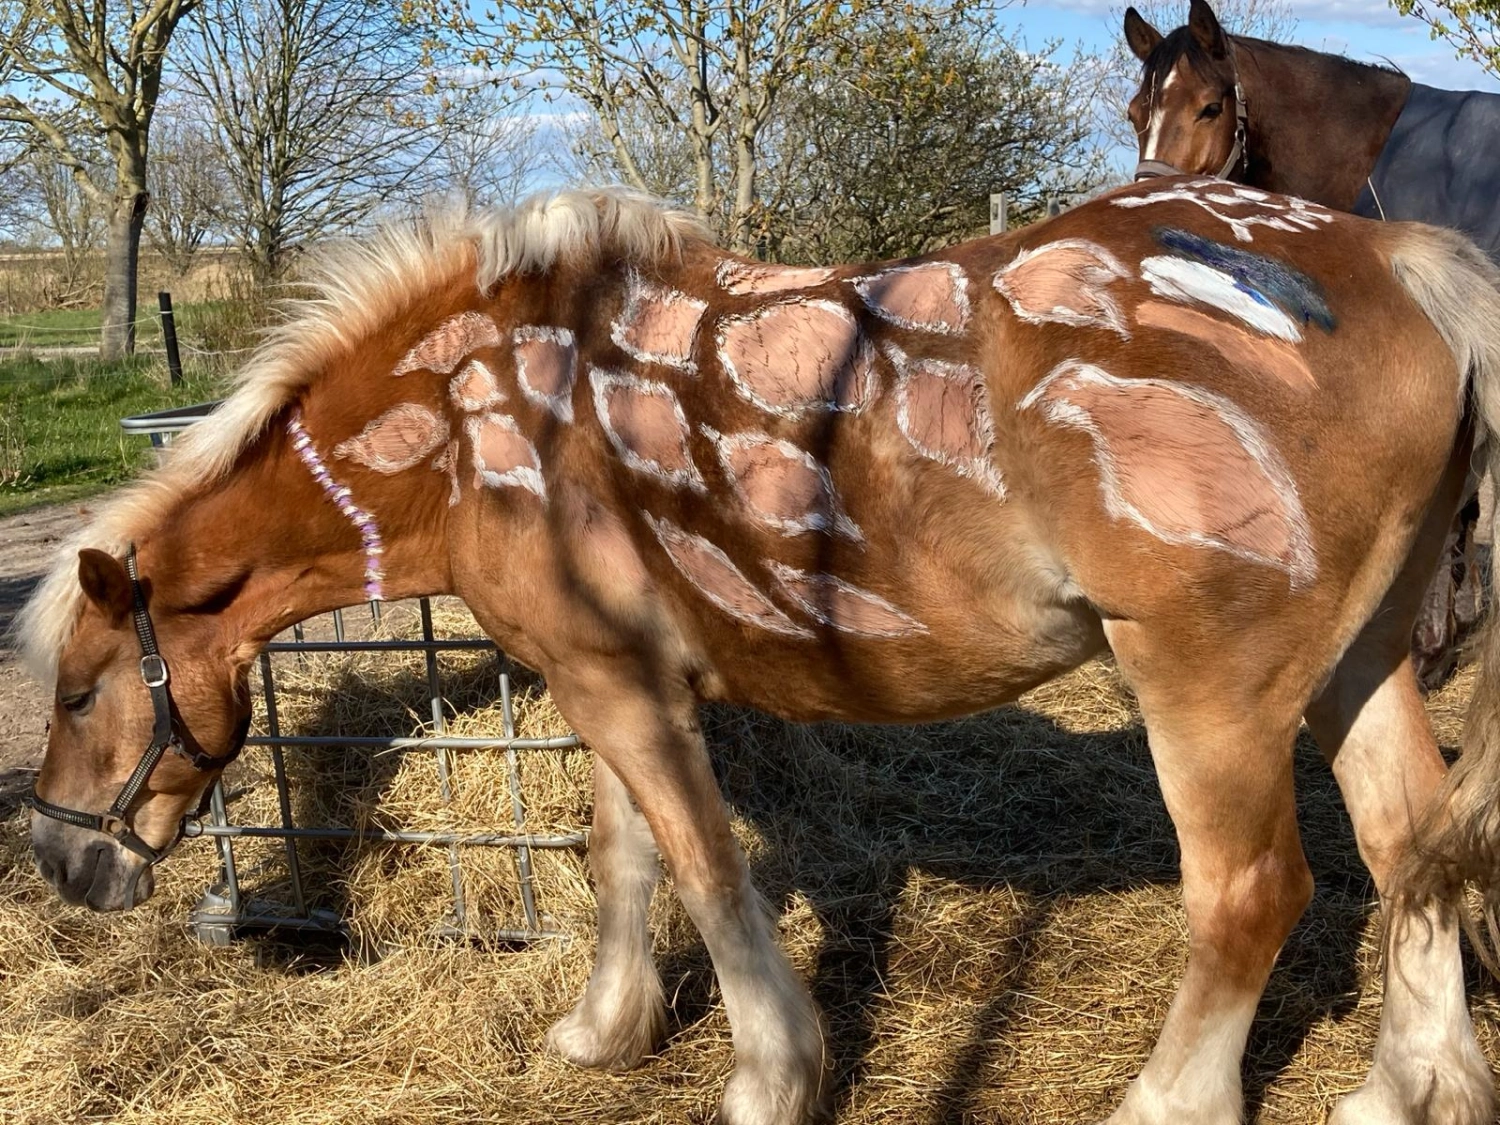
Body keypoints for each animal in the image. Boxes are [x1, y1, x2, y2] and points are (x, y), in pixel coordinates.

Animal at [17, 180, 1500, 1122]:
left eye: (82, 693)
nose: (62, 861)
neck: (471, 423)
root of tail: (1395, 263)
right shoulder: (608, 678)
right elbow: (622, 859)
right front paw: (603, 1032)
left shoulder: (620, 689)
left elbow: (706, 867)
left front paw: (769, 1078)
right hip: (1363, 659)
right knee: (1411, 847)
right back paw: (1407, 1088)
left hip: (1208, 686)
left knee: (1252, 892)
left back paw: (1165, 1103)